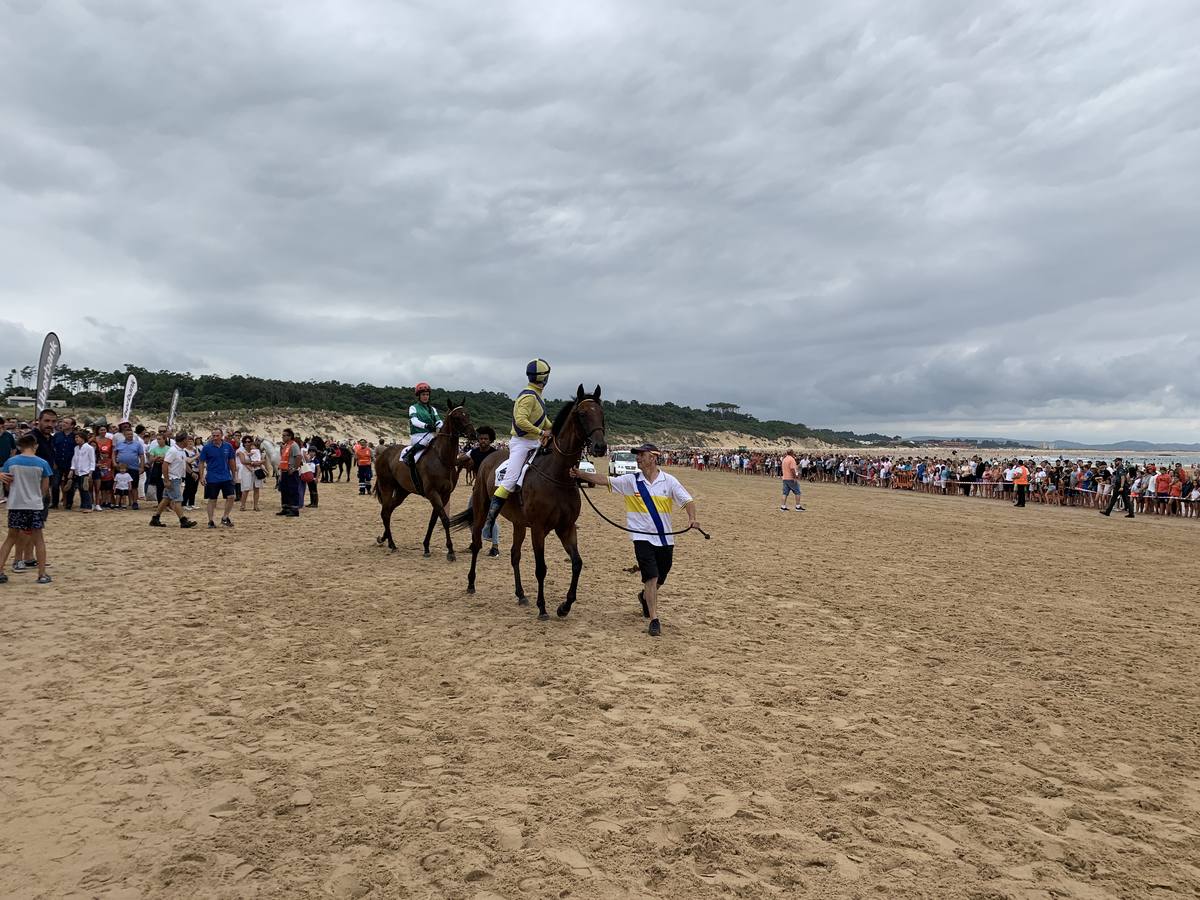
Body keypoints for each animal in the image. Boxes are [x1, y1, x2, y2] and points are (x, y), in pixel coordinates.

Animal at [374, 403, 472, 561]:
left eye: (467, 414)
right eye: (457, 417)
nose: (473, 434)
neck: (442, 459)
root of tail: (383, 453)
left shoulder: (444, 495)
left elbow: (433, 520)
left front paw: (426, 547)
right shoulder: (433, 493)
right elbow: (445, 520)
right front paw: (450, 551)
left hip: (402, 491)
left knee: (388, 510)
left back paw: (385, 539)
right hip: (386, 487)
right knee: (385, 511)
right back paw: (392, 544)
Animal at [446, 384, 604, 624]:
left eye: (602, 413)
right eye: (582, 414)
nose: (600, 446)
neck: (557, 475)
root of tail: (487, 457)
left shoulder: (566, 528)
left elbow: (577, 563)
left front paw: (564, 606)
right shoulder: (538, 529)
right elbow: (541, 568)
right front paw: (543, 608)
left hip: (519, 524)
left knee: (514, 555)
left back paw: (520, 595)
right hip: (482, 510)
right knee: (477, 543)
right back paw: (471, 583)